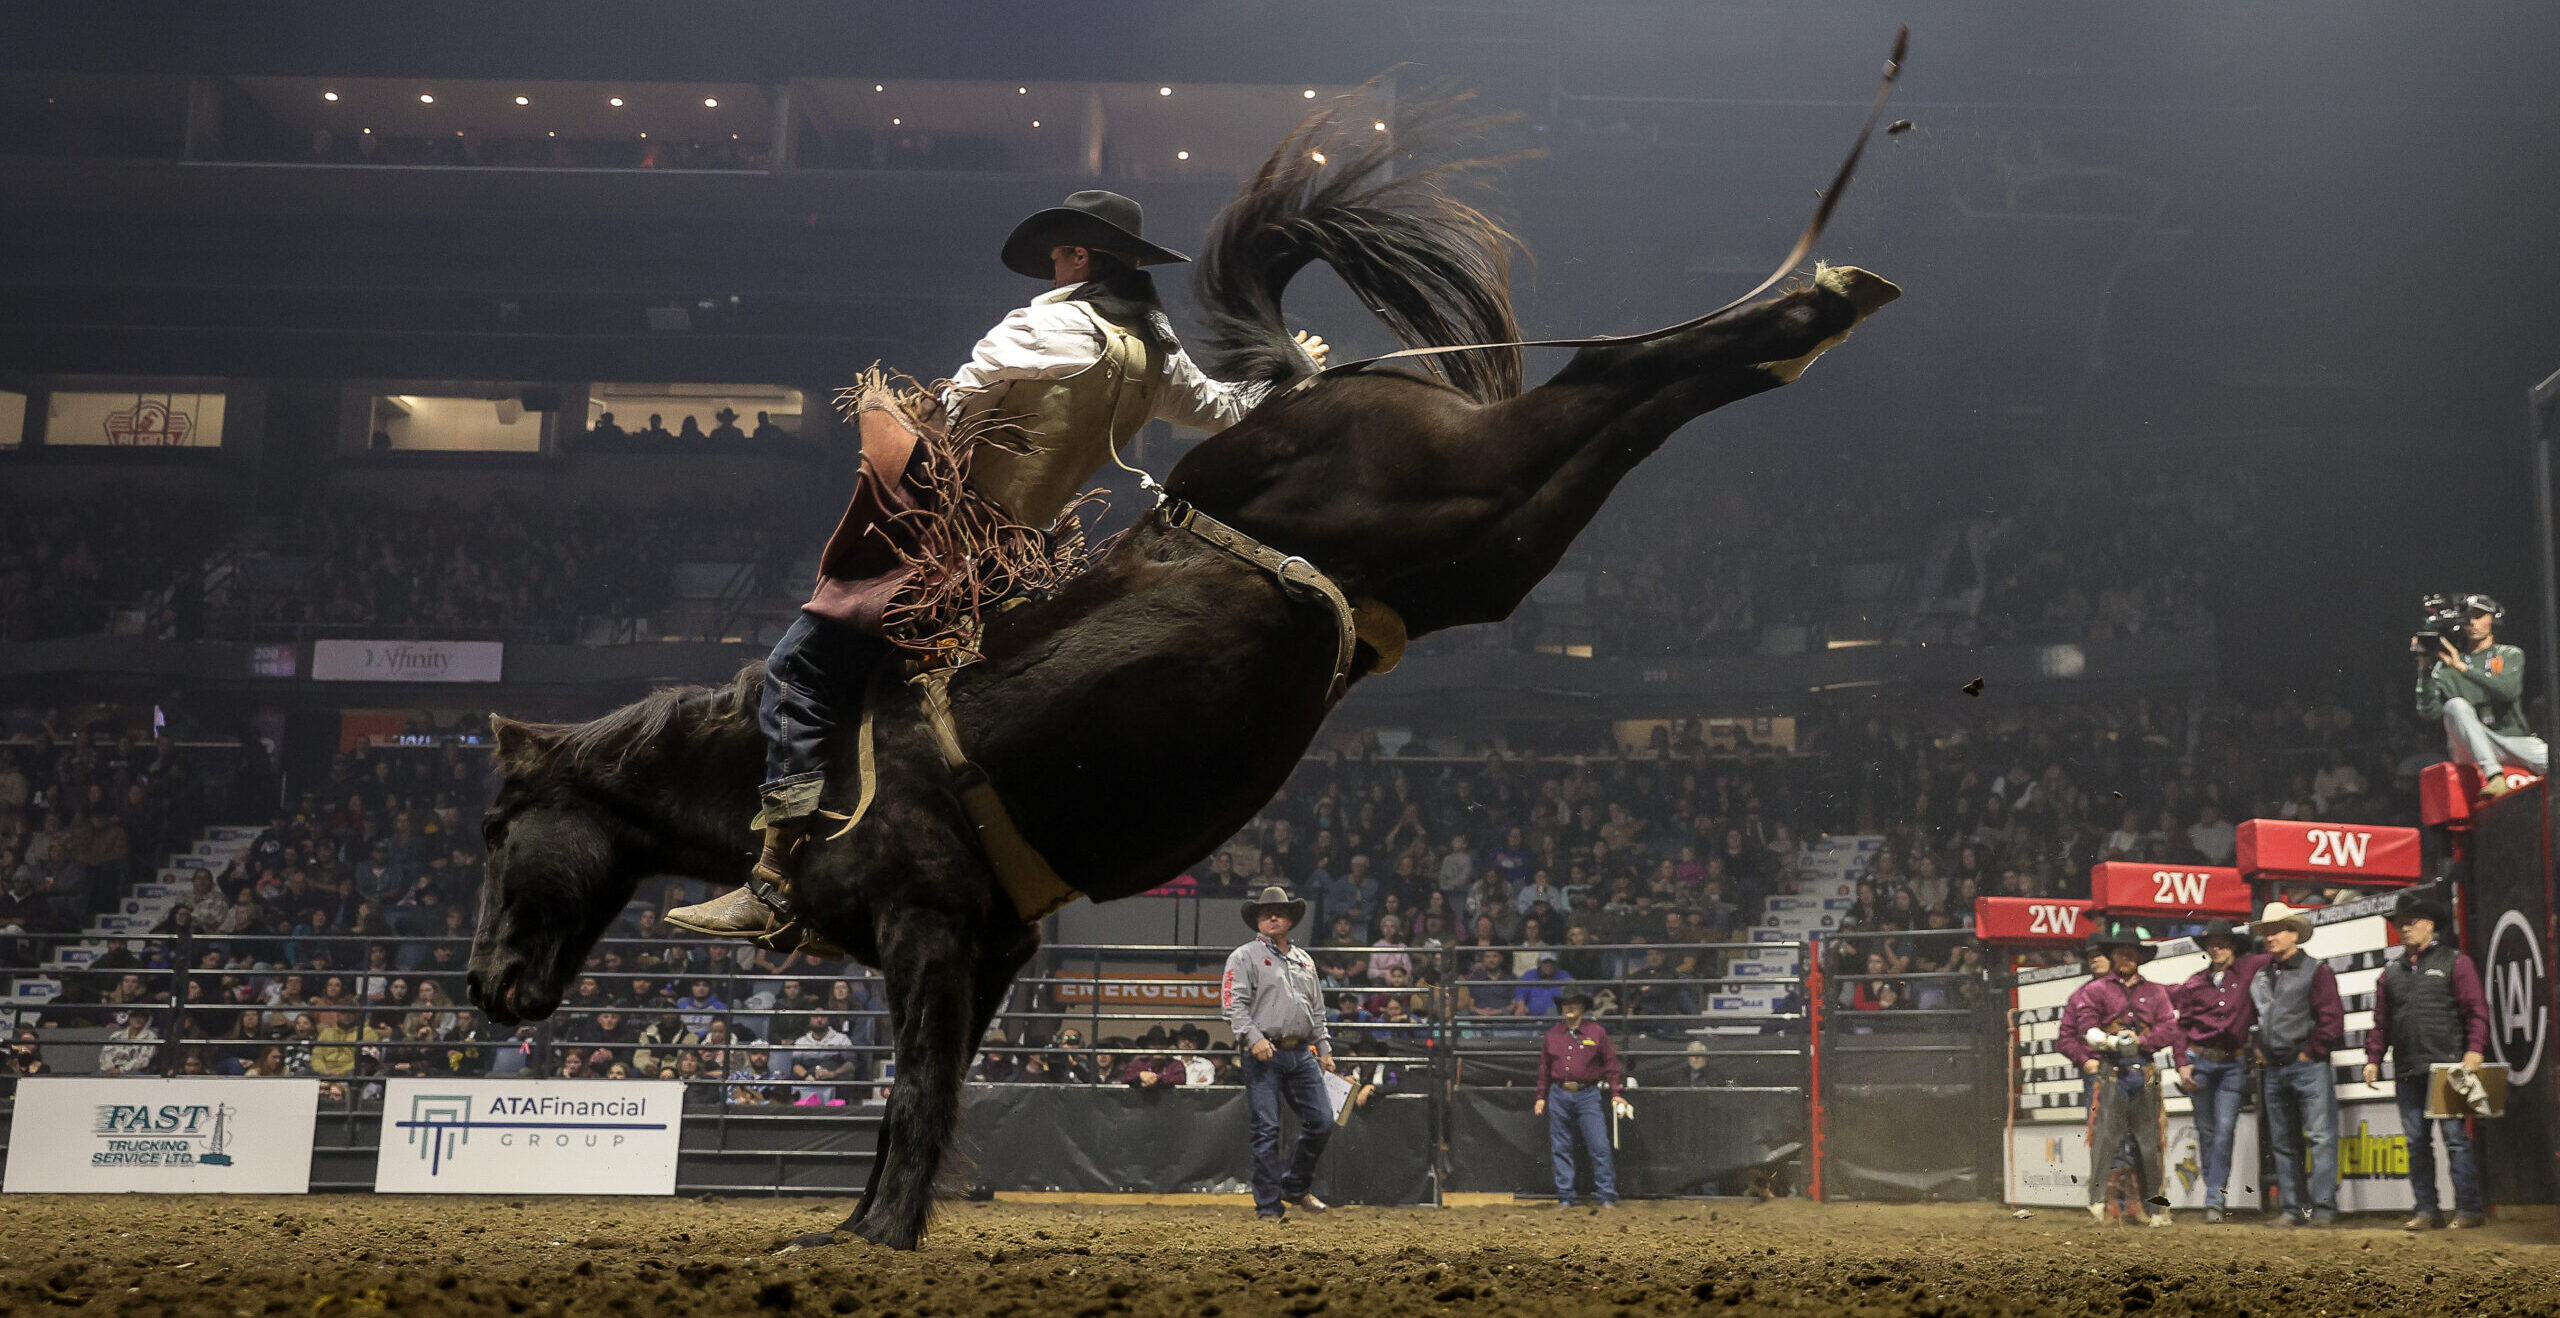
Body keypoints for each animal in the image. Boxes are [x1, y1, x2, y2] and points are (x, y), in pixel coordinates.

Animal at [466, 93, 1898, 1251]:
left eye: (491, 827)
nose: (485, 988)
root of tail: (1312, 397)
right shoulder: (989, 948)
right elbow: (928, 1094)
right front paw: (873, 1221)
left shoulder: (928, 931)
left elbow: (914, 1090)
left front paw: (863, 1237)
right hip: (1487, 544)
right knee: (1619, 404)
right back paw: (1810, 314)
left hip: (1466, 490)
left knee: (1614, 369)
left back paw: (1817, 298)